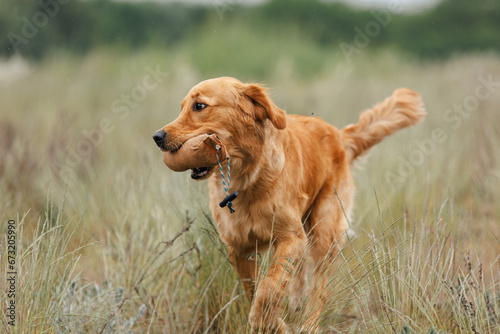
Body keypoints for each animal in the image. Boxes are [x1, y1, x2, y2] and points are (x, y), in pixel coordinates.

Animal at [152, 77, 426, 332]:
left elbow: (269, 287)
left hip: (323, 230)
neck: (249, 177)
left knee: (319, 288)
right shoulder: (239, 247)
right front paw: (273, 323)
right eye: (181, 107)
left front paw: (267, 321)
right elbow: (254, 288)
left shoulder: (290, 237)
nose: (157, 136)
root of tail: (338, 134)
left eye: (199, 106)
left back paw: (309, 324)